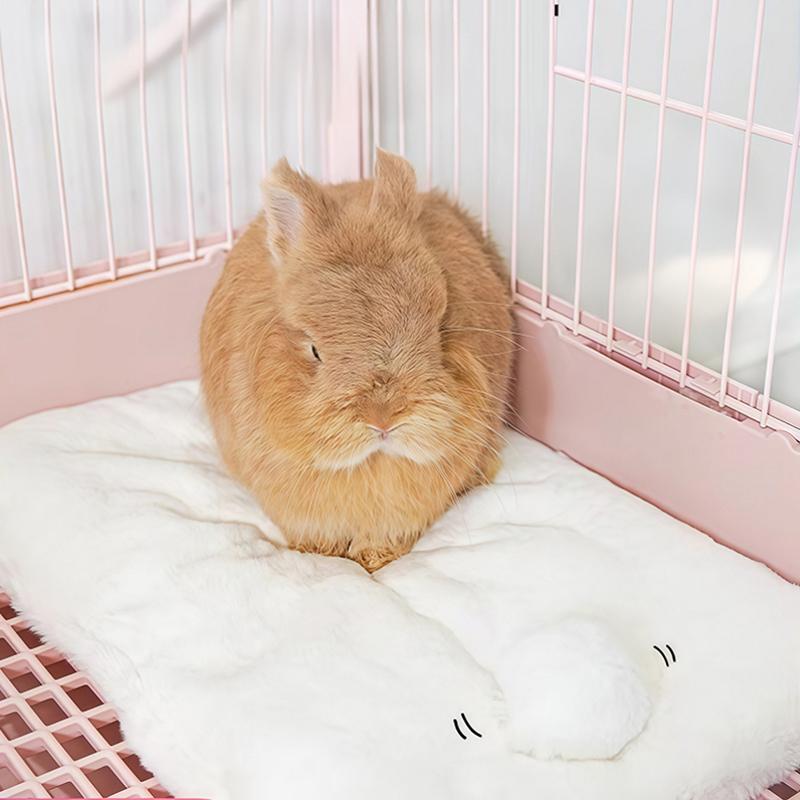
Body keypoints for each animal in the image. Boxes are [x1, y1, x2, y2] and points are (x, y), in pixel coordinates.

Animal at [200, 149, 514, 572]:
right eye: (315, 350)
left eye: (438, 328)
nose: (383, 418)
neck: (370, 463)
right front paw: (321, 554)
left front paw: (373, 562)